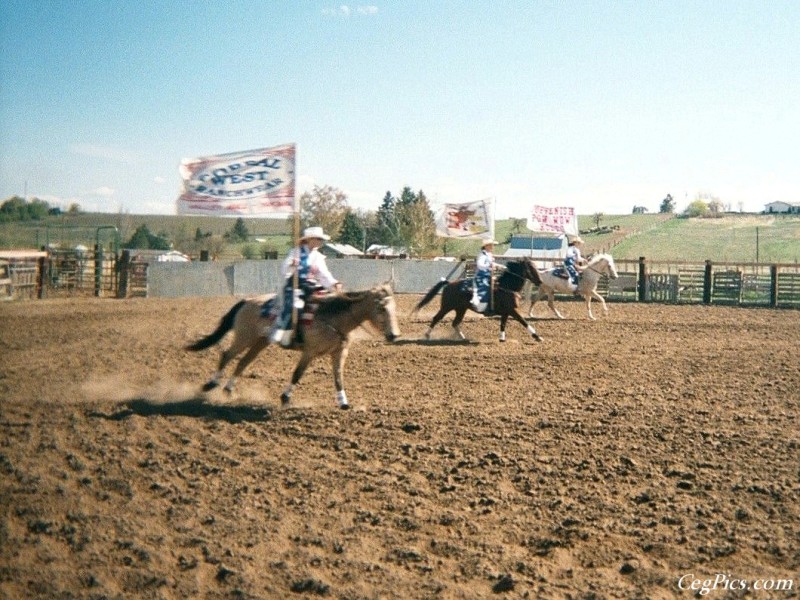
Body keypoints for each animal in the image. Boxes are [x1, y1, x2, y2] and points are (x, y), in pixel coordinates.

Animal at [187, 284, 400, 410]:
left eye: (393, 308)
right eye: (381, 307)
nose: (394, 335)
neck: (332, 317)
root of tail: (247, 301)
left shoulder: (339, 353)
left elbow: (338, 378)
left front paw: (344, 403)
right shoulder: (309, 352)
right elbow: (297, 374)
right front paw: (285, 398)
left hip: (260, 342)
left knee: (243, 363)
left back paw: (228, 390)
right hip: (244, 338)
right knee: (227, 355)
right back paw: (211, 384)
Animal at [412, 258, 544, 342]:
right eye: (531, 268)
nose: (540, 281)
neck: (507, 286)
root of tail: (449, 284)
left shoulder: (506, 312)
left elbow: (503, 324)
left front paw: (502, 338)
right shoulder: (512, 310)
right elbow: (523, 322)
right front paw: (537, 337)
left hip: (461, 309)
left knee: (455, 323)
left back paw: (463, 338)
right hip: (446, 307)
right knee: (436, 318)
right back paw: (427, 335)